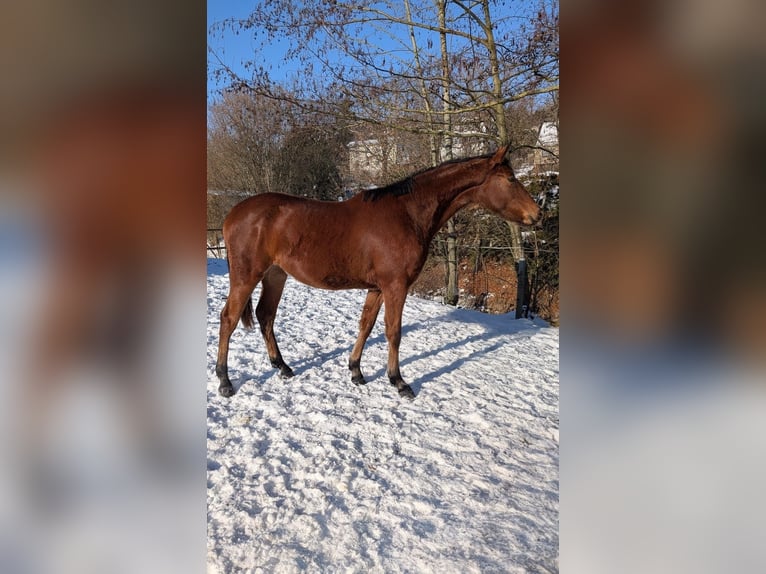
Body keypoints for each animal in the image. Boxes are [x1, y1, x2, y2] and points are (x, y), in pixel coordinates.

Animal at [215, 144, 541, 399]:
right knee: (229, 318)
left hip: (275, 275)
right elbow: (393, 331)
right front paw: (398, 381)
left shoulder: (377, 287)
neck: (407, 213)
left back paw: (282, 367)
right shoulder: (396, 285)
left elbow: (366, 325)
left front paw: (356, 371)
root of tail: (233, 214)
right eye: (511, 179)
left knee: (265, 316)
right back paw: (224, 380)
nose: (536, 215)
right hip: (246, 277)